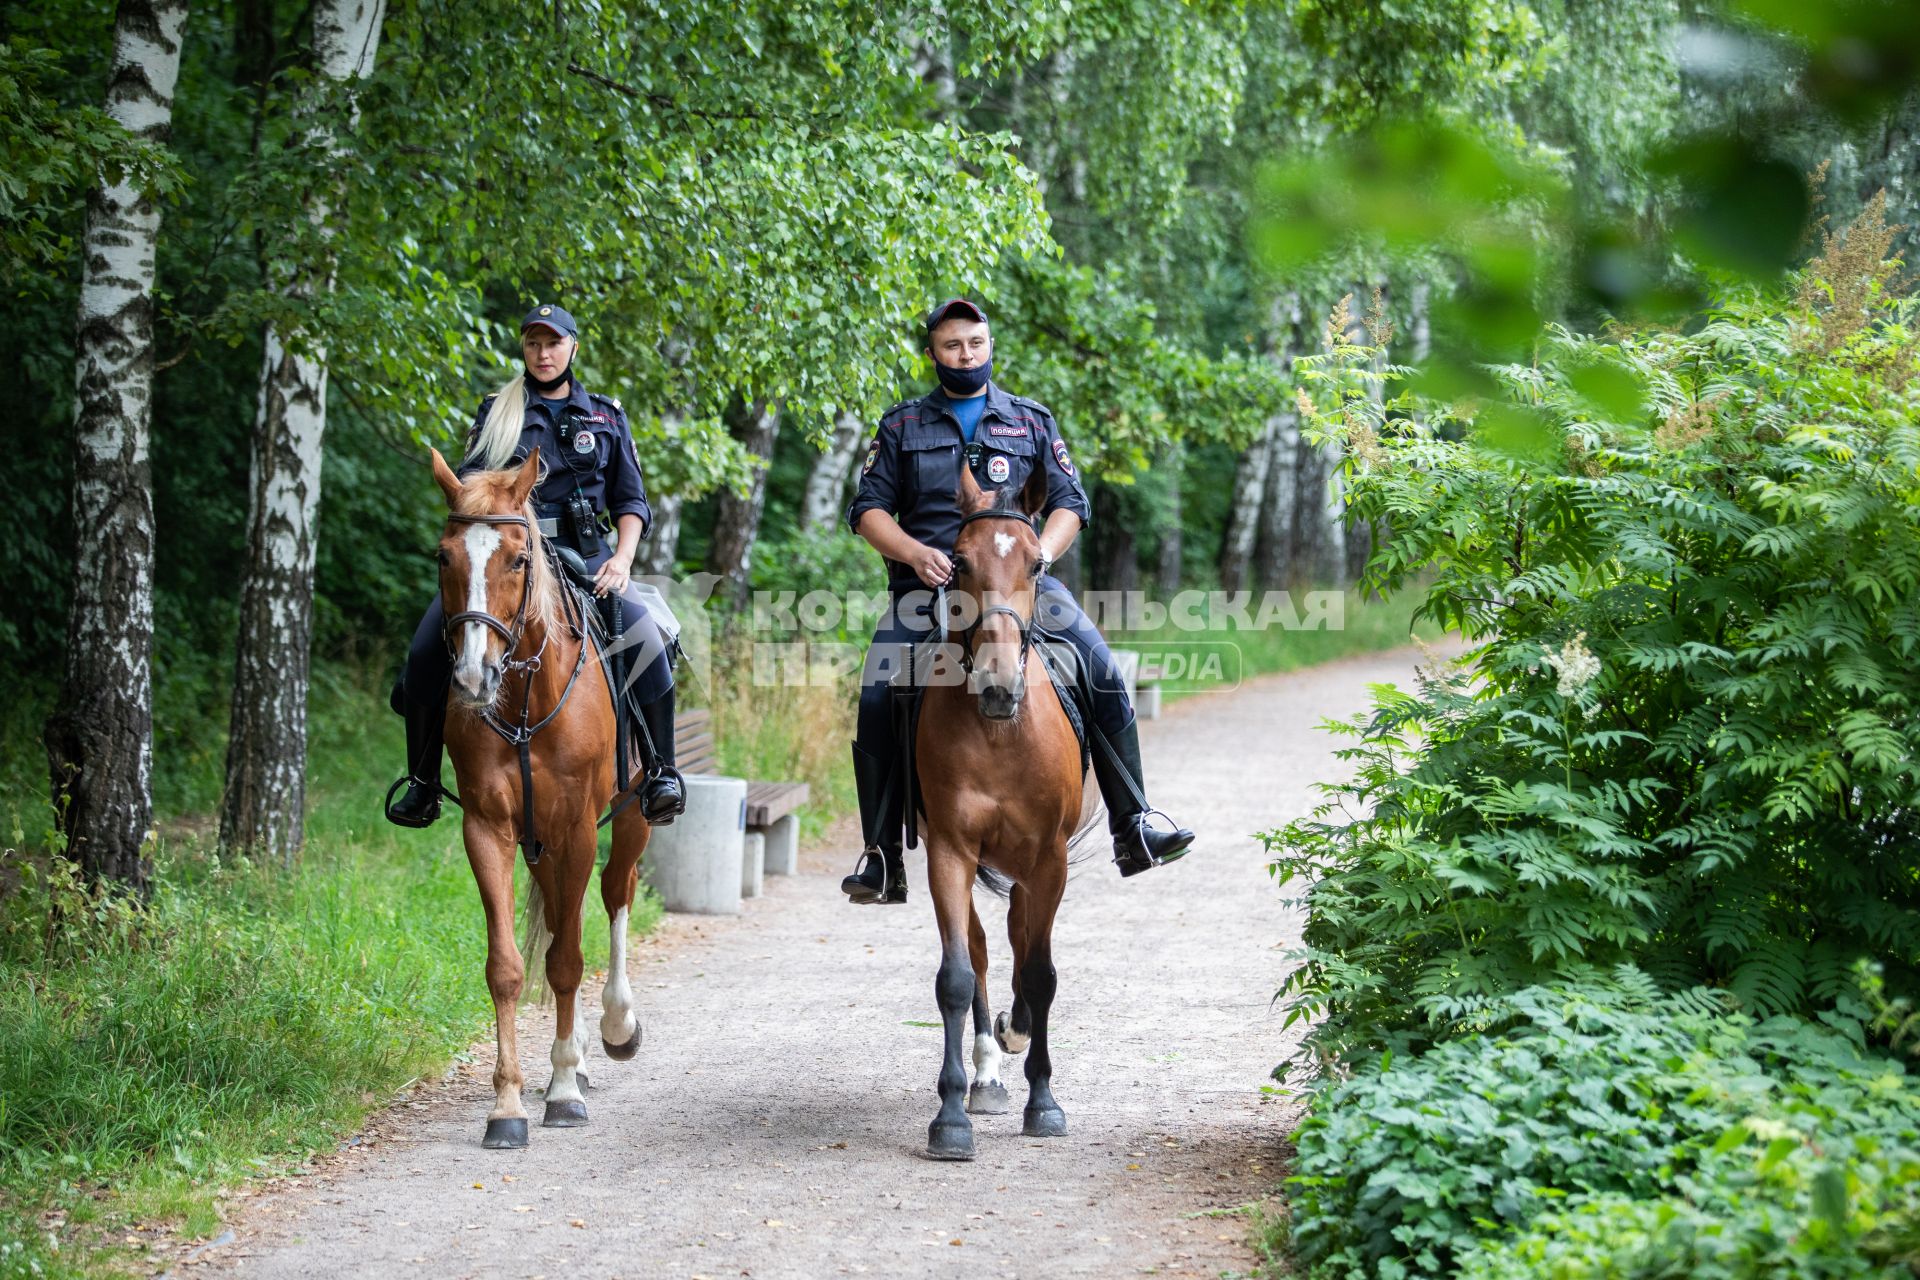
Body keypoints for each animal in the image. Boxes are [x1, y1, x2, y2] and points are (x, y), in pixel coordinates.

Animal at [428, 449, 652, 1151]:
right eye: (443, 557)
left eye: (518, 559)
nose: (472, 678)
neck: (527, 699)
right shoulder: (488, 827)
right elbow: (508, 966)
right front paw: (507, 1104)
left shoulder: (579, 828)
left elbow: (569, 961)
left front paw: (561, 1093)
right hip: (540, 840)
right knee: (558, 915)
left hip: (632, 817)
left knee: (614, 893)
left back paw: (612, 1029)